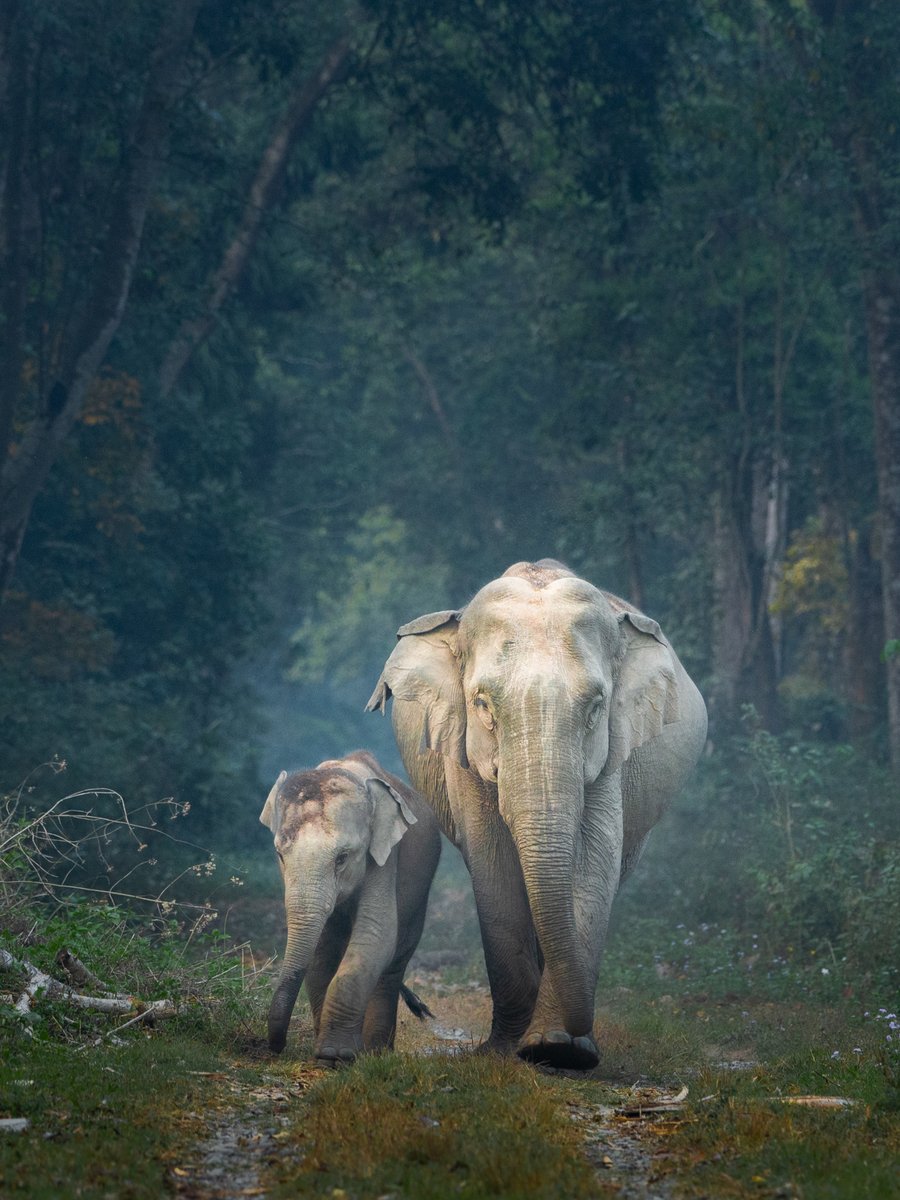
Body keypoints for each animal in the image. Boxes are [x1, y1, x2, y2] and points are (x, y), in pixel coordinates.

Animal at [260, 750, 441, 1065]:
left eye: (342, 858)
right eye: (280, 855)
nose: (277, 1047)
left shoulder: (384, 856)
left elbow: (376, 935)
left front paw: (335, 1056)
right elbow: (322, 953)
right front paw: (325, 1055)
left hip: (420, 892)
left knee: (392, 966)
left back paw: (376, 1052)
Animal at [367, 559, 707, 1070]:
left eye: (596, 707)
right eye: (482, 704)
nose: (581, 1031)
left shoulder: (611, 757)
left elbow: (593, 864)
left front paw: (559, 1049)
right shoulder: (461, 758)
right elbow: (493, 867)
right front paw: (506, 1049)